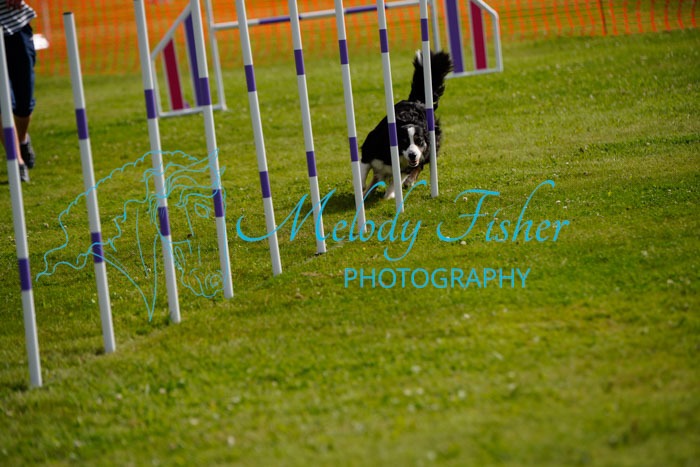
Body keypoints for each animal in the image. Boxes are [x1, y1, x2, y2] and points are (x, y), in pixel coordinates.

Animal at [360, 50, 453, 199]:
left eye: (419, 141)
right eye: (403, 142)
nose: (412, 155)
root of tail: (417, 101)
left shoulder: (407, 166)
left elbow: (396, 182)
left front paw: (389, 196)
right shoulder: (369, 148)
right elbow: (363, 170)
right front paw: (362, 188)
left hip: (431, 147)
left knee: (420, 165)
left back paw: (409, 181)